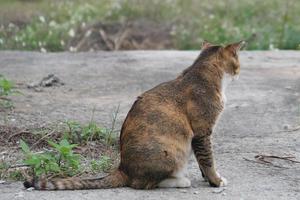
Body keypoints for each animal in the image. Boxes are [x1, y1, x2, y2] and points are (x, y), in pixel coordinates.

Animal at [23, 40, 244, 191]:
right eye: (237, 61)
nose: (239, 71)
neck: (203, 75)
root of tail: (123, 168)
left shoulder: (200, 136)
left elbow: (201, 161)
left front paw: (207, 178)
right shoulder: (202, 131)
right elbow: (208, 160)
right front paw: (216, 180)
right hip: (172, 152)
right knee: (142, 183)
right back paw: (179, 181)